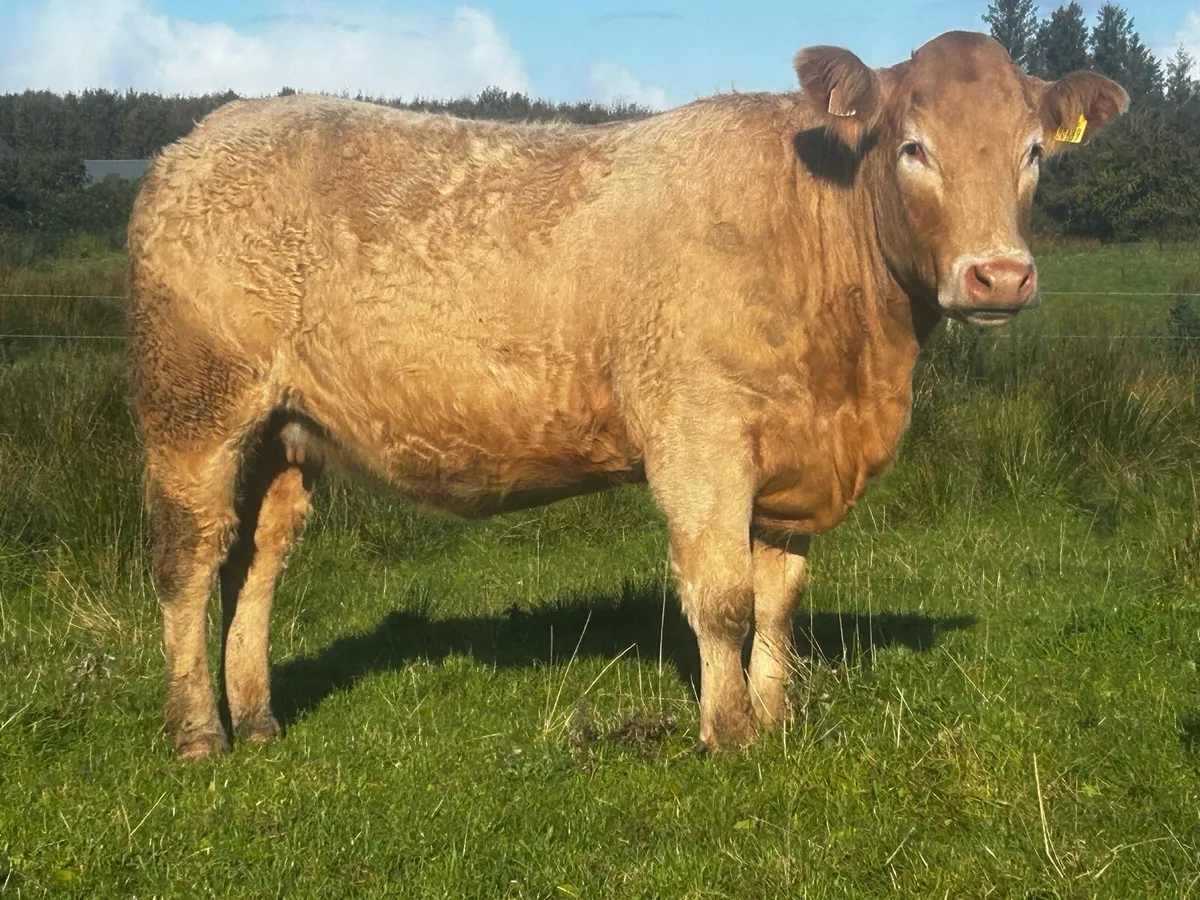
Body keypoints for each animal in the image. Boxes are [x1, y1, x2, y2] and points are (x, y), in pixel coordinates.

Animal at [126, 31, 1128, 759]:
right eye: (914, 146)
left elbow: (780, 599)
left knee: (256, 563)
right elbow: (723, 597)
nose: (999, 275)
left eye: (1034, 152)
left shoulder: (793, 456)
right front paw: (729, 735)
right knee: (186, 561)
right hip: (193, 410)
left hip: (285, 431)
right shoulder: (699, 433)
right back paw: (199, 734)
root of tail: (201, 137)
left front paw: (777, 720)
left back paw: (257, 718)